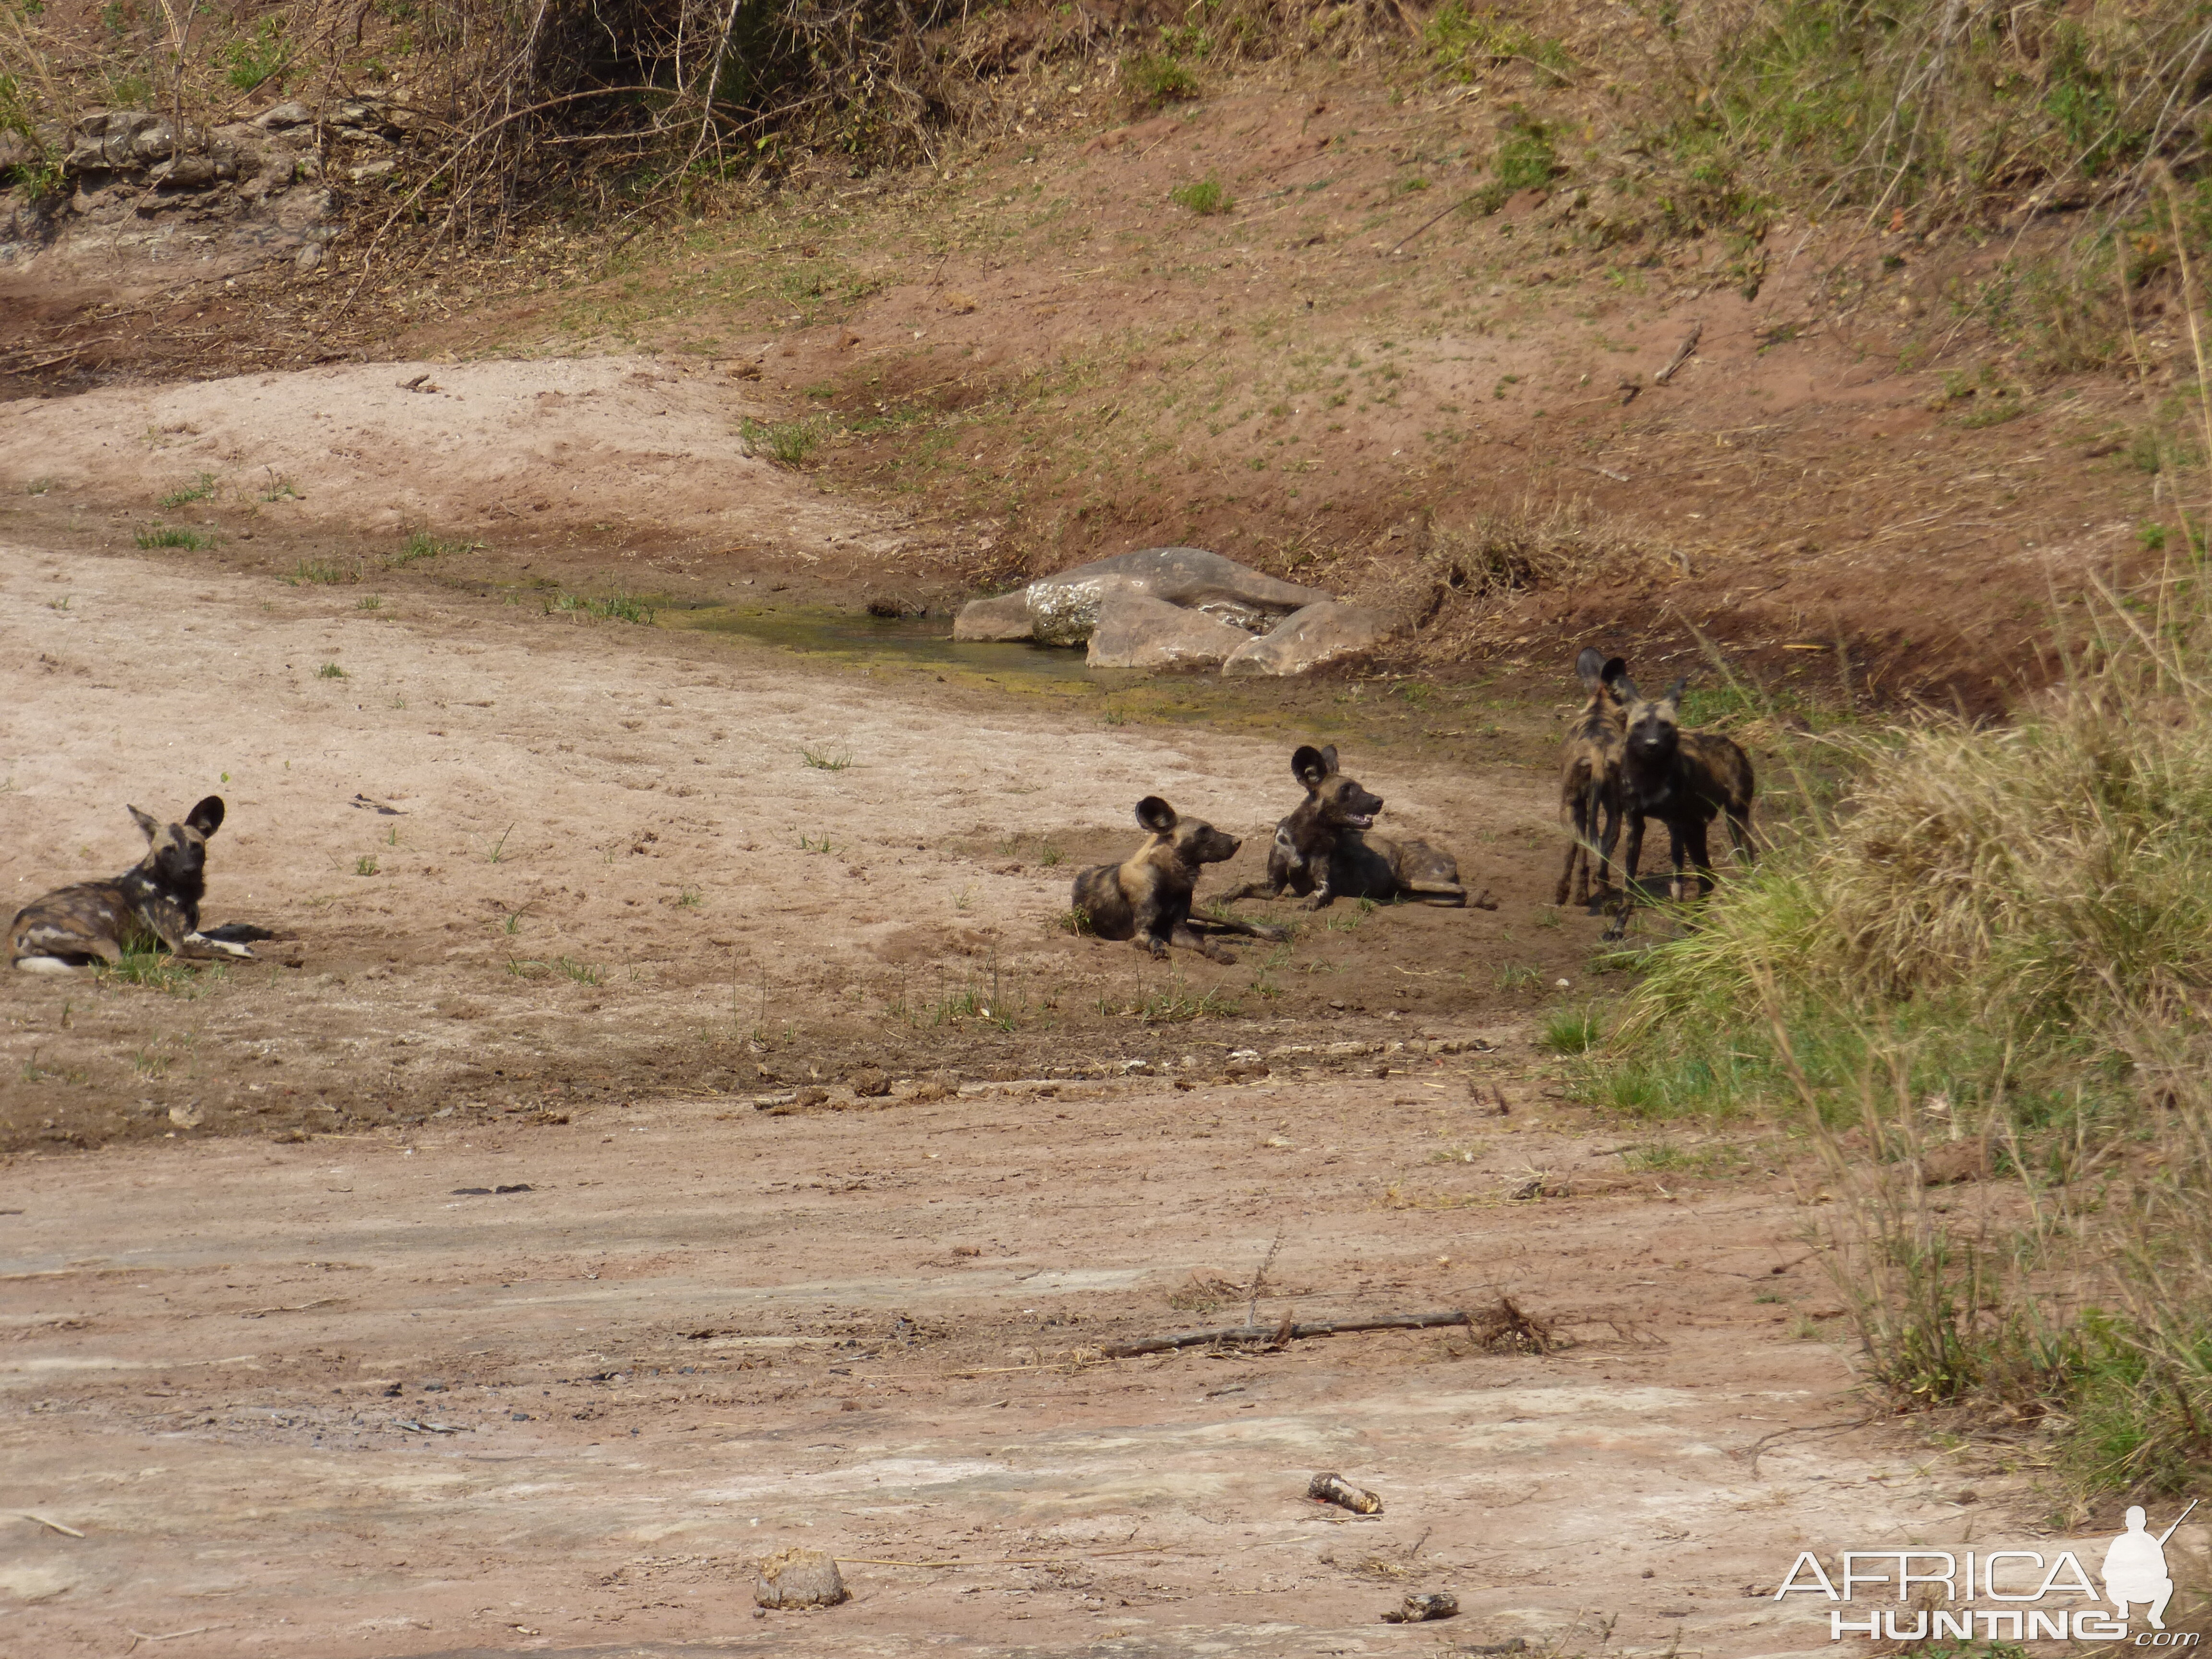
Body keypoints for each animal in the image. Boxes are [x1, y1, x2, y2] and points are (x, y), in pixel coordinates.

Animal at [10, 796, 259, 973]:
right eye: (169, 850)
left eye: (196, 846)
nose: (188, 870)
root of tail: (17, 927)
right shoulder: (181, 940)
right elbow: (231, 947)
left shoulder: (191, 931)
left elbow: (233, 931)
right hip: (102, 940)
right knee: (123, 963)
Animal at [1066, 801, 1283, 969]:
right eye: (1203, 831)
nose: (1238, 841)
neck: (1168, 879)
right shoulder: (1143, 934)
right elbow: (1157, 939)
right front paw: (1160, 950)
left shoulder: (1179, 930)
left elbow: (1208, 941)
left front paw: (1221, 952)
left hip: (1198, 912)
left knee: (1231, 923)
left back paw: (1272, 932)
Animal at [1557, 646, 1646, 911]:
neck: (1600, 708)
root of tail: (1597, 756)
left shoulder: (1577, 804)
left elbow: (1580, 848)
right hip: (1614, 810)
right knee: (1602, 852)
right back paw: (1603, 897)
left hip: (1571, 805)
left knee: (1577, 845)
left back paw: (1570, 894)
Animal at [1601, 672, 1752, 938]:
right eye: (1639, 725)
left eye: (1665, 725)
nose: (1652, 744)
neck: (1650, 778)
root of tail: (1731, 743)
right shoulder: (1635, 825)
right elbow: (1629, 883)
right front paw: (1618, 926)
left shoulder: (1675, 827)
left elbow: (1677, 886)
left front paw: (1677, 930)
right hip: (1695, 832)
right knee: (1708, 877)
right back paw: (1696, 925)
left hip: (1735, 822)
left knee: (1749, 866)